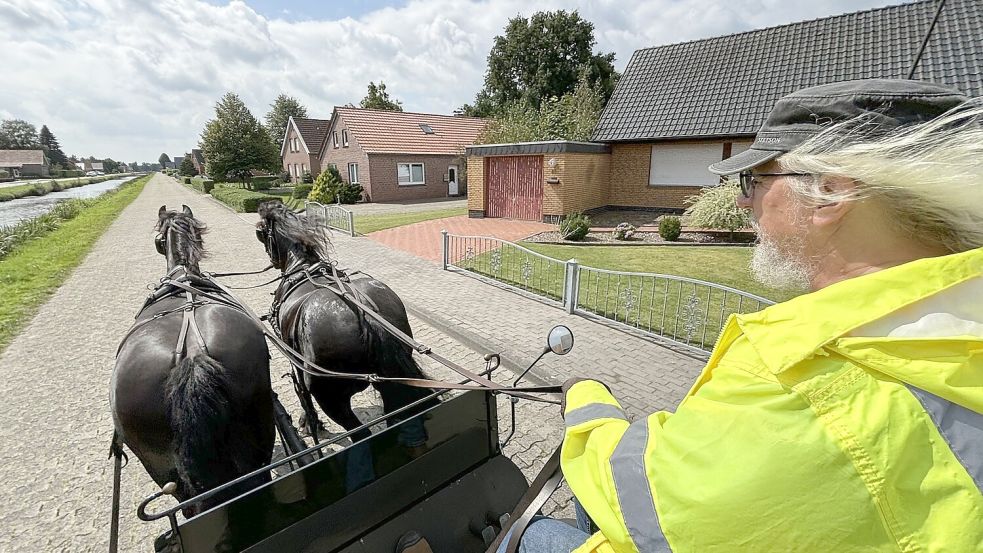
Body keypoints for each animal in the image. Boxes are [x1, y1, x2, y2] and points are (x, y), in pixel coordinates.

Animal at [256, 201, 436, 446]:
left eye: (260, 232)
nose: (272, 261)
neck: (302, 268)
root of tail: (367, 317)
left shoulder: (294, 360)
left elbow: (303, 395)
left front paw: (309, 422)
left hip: (331, 397)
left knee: (361, 435)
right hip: (390, 382)